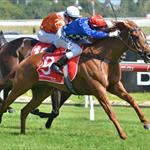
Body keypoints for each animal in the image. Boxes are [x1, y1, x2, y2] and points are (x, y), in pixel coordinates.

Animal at [0, 20, 150, 139]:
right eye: (135, 36)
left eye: (144, 35)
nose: (148, 54)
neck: (103, 56)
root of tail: (25, 61)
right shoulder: (98, 89)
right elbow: (110, 111)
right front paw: (122, 134)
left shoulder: (114, 86)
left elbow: (131, 100)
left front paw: (145, 122)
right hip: (21, 86)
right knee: (5, 103)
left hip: (42, 92)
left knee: (24, 110)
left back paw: (23, 132)